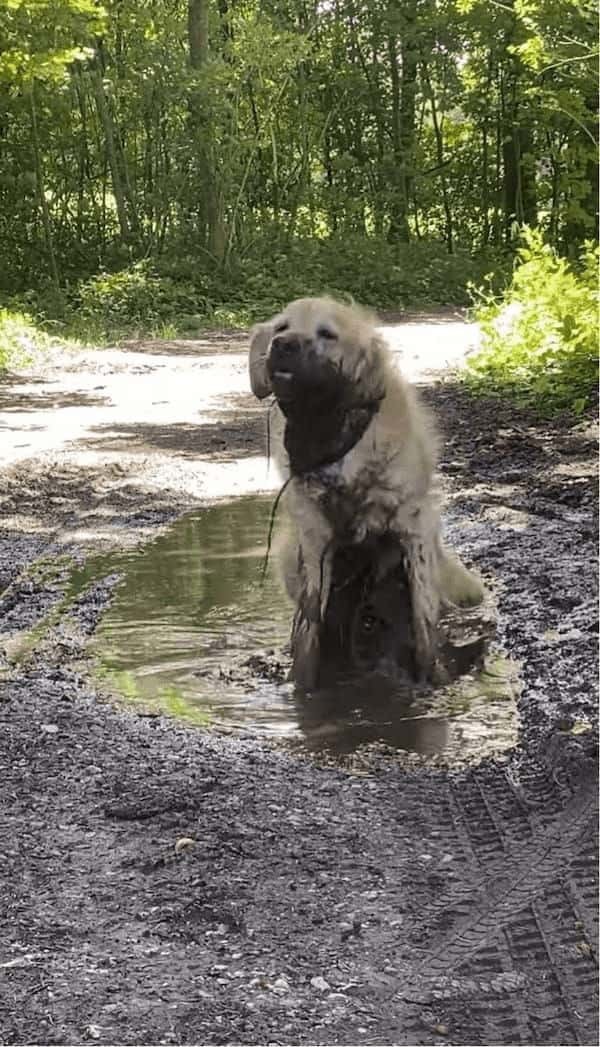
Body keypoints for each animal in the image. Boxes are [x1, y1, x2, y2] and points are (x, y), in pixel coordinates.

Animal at [248, 297, 481, 686]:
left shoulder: (413, 529)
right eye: (281, 327)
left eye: (327, 334)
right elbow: (309, 632)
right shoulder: (314, 540)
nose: (282, 345)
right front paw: (303, 686)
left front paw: (431, 680)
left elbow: (424, 628)